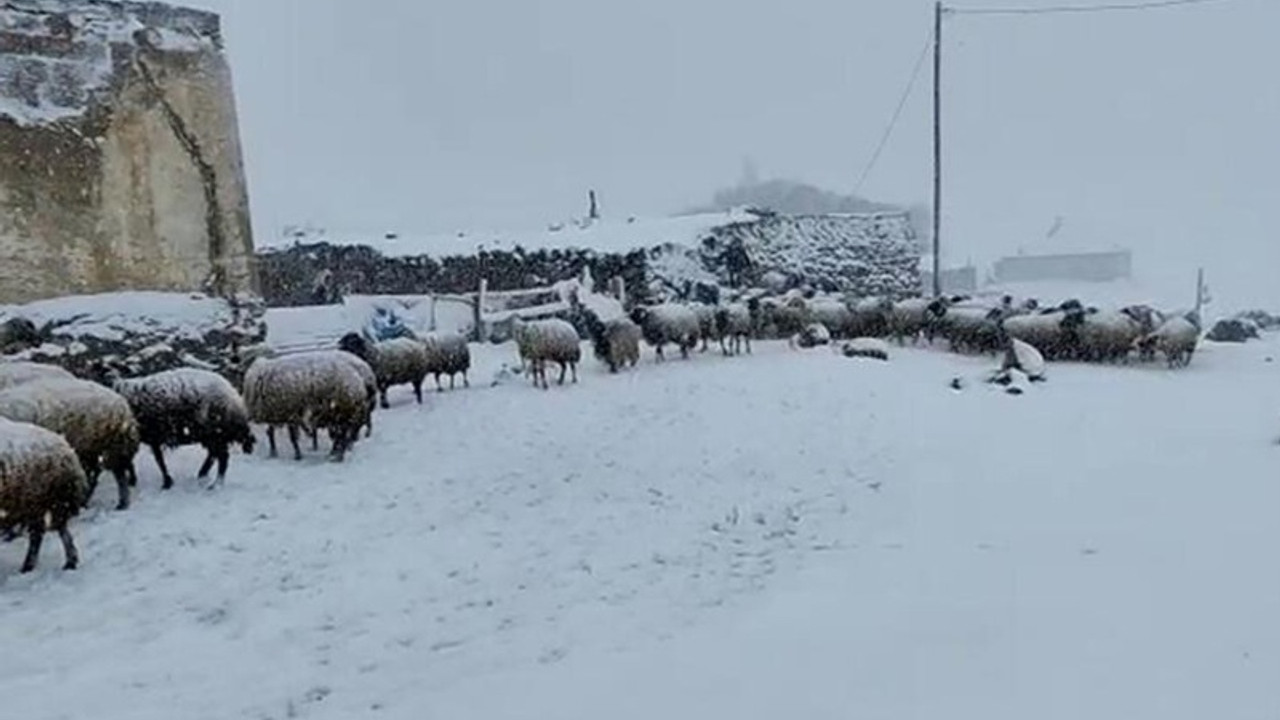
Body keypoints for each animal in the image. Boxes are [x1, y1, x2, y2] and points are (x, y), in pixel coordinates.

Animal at [0, 376, 140, 509]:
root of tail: (123, 405)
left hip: (111, 445)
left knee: (117, 475)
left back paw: (121, 503)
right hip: (92, 447)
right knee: (96, 474)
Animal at [113, 366, 256, 489]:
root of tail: (233, 396)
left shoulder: (145, 437)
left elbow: (156, 460)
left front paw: (165, 482)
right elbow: (149, 460)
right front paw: (136, 480)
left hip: (213, 432)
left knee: (222, 457)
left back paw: (215, 485)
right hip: (212, 434)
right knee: (214, 454)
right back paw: (202, 474)